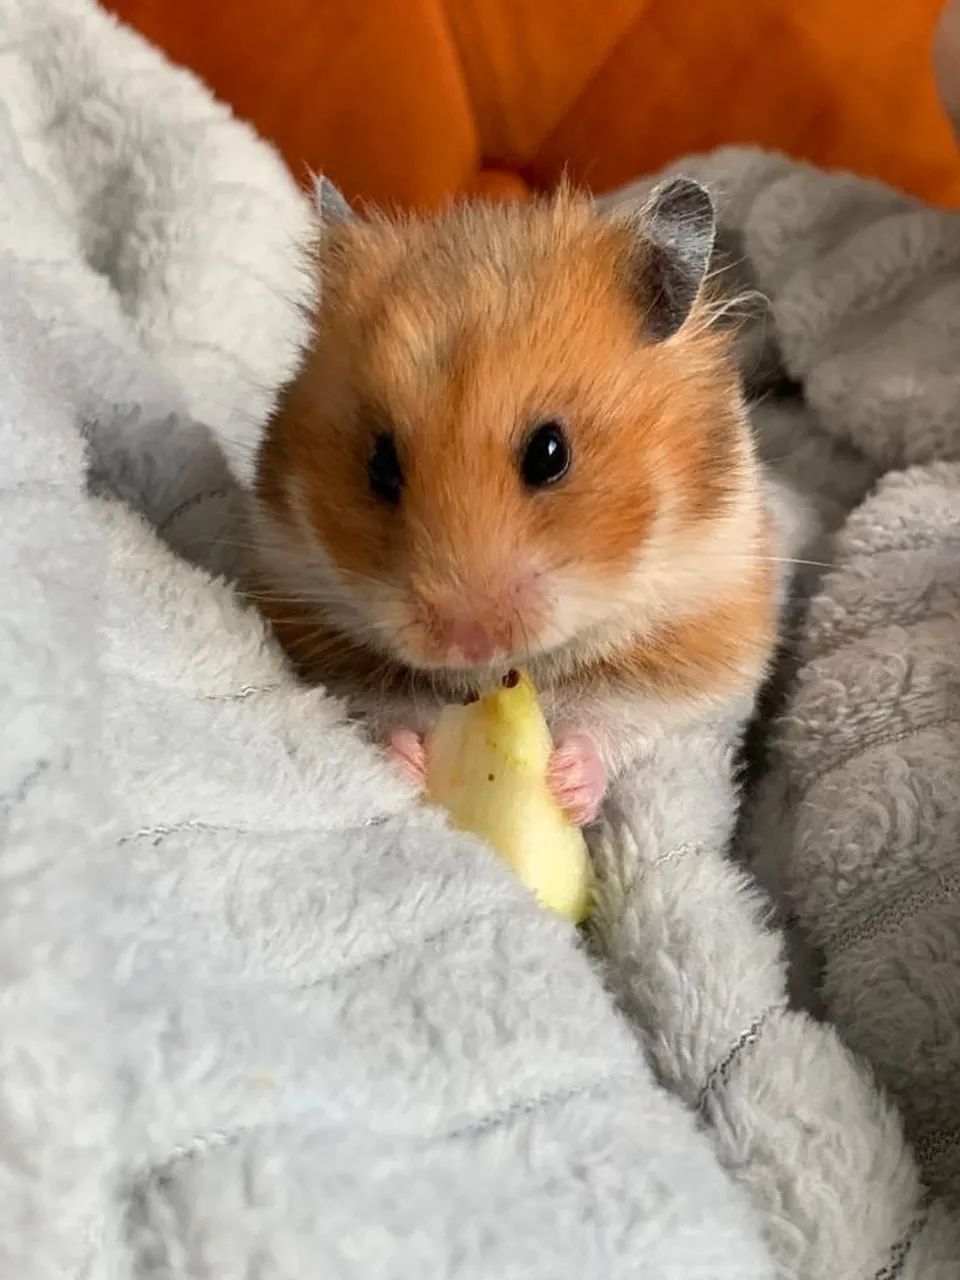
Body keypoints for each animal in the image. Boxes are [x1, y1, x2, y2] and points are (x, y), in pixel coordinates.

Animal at [250, 174, 777, 824]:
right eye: (380, 466)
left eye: (550, 453)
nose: (466, 640)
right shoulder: (317, 624)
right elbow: (386, 704)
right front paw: (407, 763)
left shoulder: (701, 639)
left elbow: (618, 715)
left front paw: (567, 787)